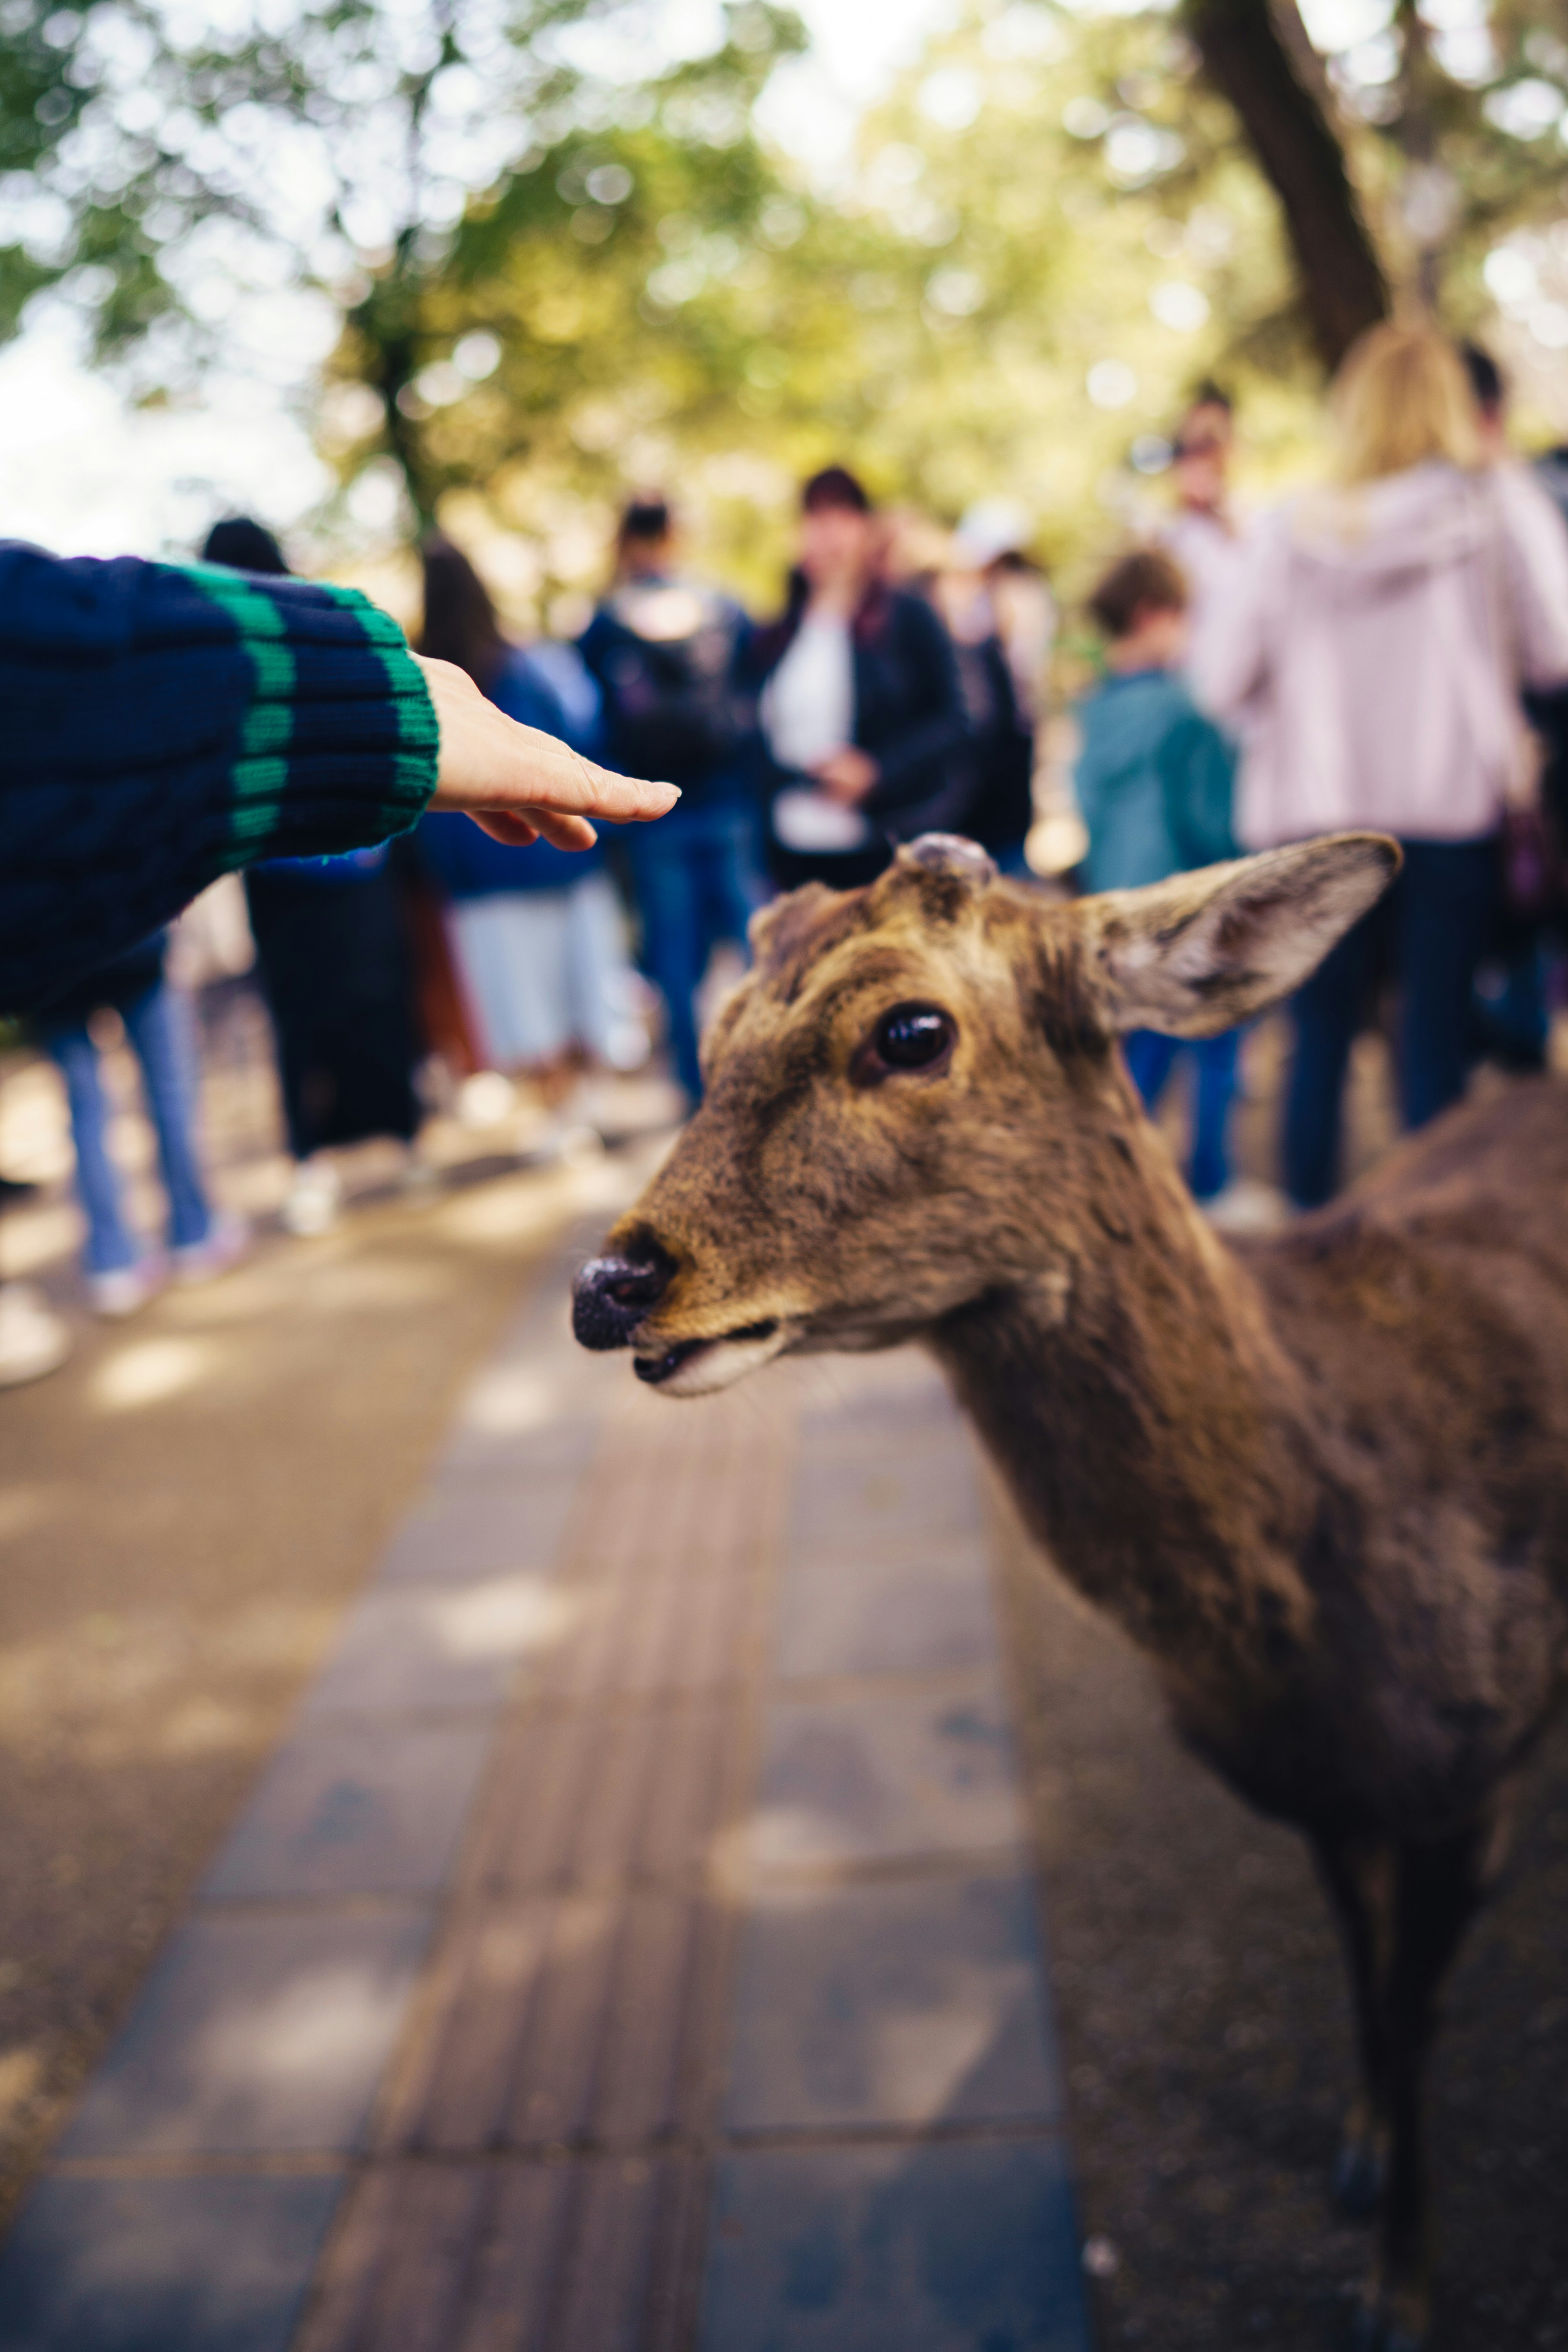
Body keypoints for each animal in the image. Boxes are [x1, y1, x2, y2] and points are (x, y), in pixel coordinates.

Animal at [571, 833, 1568, 2351]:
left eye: (909, 1030)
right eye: (715, 1028)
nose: (611, 1280)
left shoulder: (1476, 1771)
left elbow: (1414, 2011)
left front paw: (1401, 2291)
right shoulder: (1327, 1797)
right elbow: (1359, 1961)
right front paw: (1358, 2155)